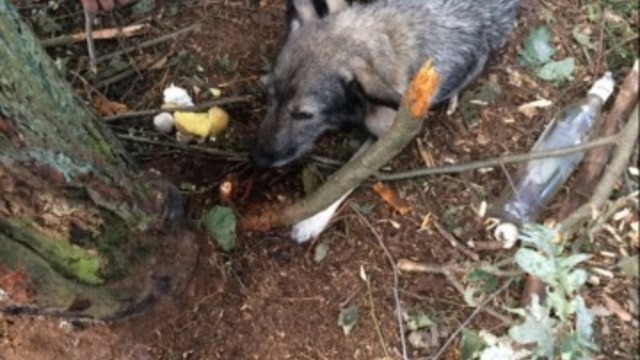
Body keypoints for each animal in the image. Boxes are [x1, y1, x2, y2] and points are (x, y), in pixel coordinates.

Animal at [254, 0, 520, 242]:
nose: (257, 159)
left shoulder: (387, 138)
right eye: (269, 96)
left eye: (304, 115)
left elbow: (347, 175)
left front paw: (312, 219)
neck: (382, 44)